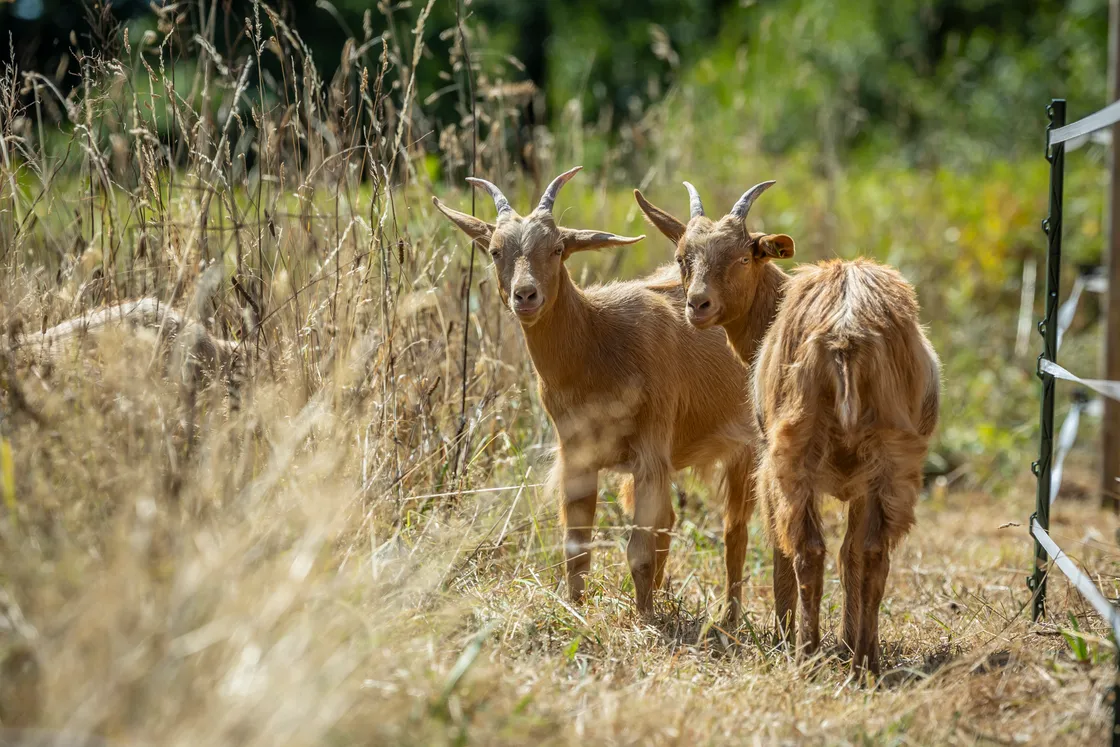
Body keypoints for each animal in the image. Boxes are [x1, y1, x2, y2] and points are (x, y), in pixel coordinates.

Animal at [433, 167, 759, 620]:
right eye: (496, 251)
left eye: (557, 248)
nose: (525, 295)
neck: (598, 339)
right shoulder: (577, 456)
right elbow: (577, 546)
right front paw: (576, 610)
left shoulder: (649, 452)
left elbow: (638, 551)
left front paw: (646, 621)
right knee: (672, 521)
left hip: (745, 450)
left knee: (735, 532)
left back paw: (730, 617)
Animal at [635, 181, 940, 675]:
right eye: (683, 256)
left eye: (744, 256)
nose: (698, 305)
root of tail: (846, 334)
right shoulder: (862, 482)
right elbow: (851, 553)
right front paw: (850, 640)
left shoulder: (764, 459)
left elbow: (783, 546)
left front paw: (785, 634)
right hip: (893, 458)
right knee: (873, 552)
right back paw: (865, 662)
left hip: (792, 452)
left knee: (806, 548)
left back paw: (803, 652)